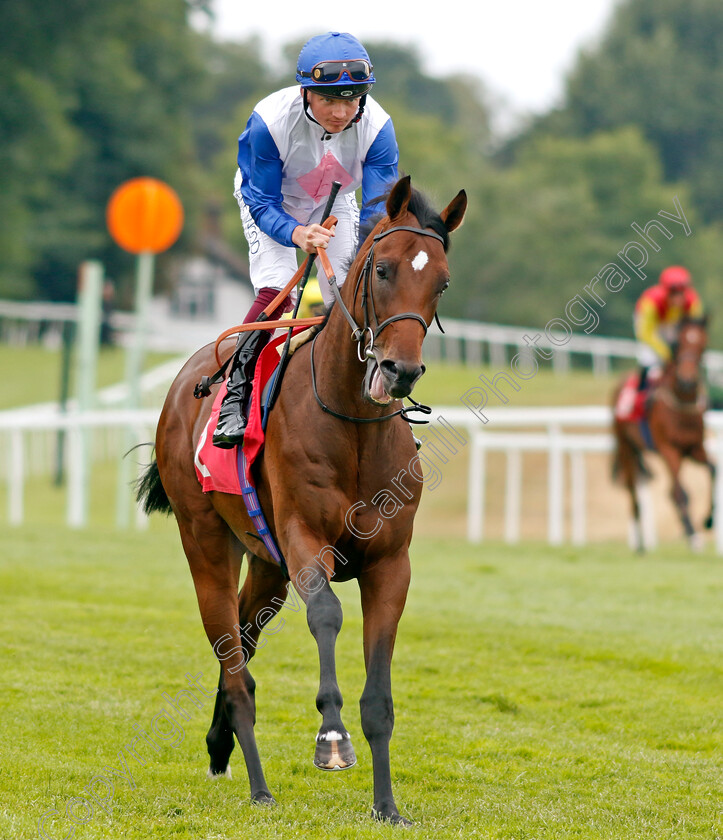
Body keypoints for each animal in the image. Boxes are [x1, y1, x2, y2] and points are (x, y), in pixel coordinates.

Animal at [135, 174, 466, 824]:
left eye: (440, 280)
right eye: (383, 269)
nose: (400, 370)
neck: (353, 425)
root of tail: (185, 377)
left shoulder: (390, 563)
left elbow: (380, 689)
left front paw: (387, 805)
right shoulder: (305, 540)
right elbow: (327, 616)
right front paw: (331, 738)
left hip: (265, 563)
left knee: (243, 635)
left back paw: (220, 744)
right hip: (206, 541)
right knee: (232, 659)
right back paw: (258, 783)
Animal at [612, 316, 716, 552]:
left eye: (703, 344)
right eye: (679, 344)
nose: (687, 380)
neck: (682, 405)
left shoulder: (695, 448)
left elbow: (713, 471)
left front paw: (708, 519)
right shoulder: (669, 449)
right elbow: (680, 492)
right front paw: (693, 535)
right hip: (626, 447)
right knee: (634, 492)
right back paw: (640, 544)